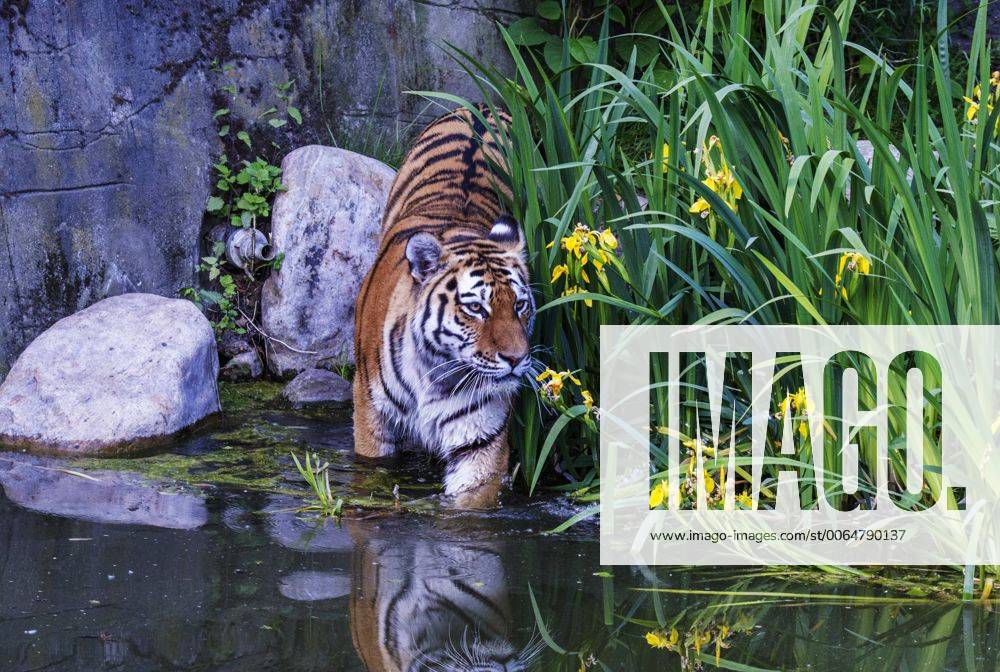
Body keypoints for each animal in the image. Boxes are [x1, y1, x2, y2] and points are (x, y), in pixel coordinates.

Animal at [352, 106, 535, 509]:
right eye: (476, 309)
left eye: (520, 305)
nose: (516, 359)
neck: (438, 372)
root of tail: (479, 108)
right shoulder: (371, 416)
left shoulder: (480, 439)